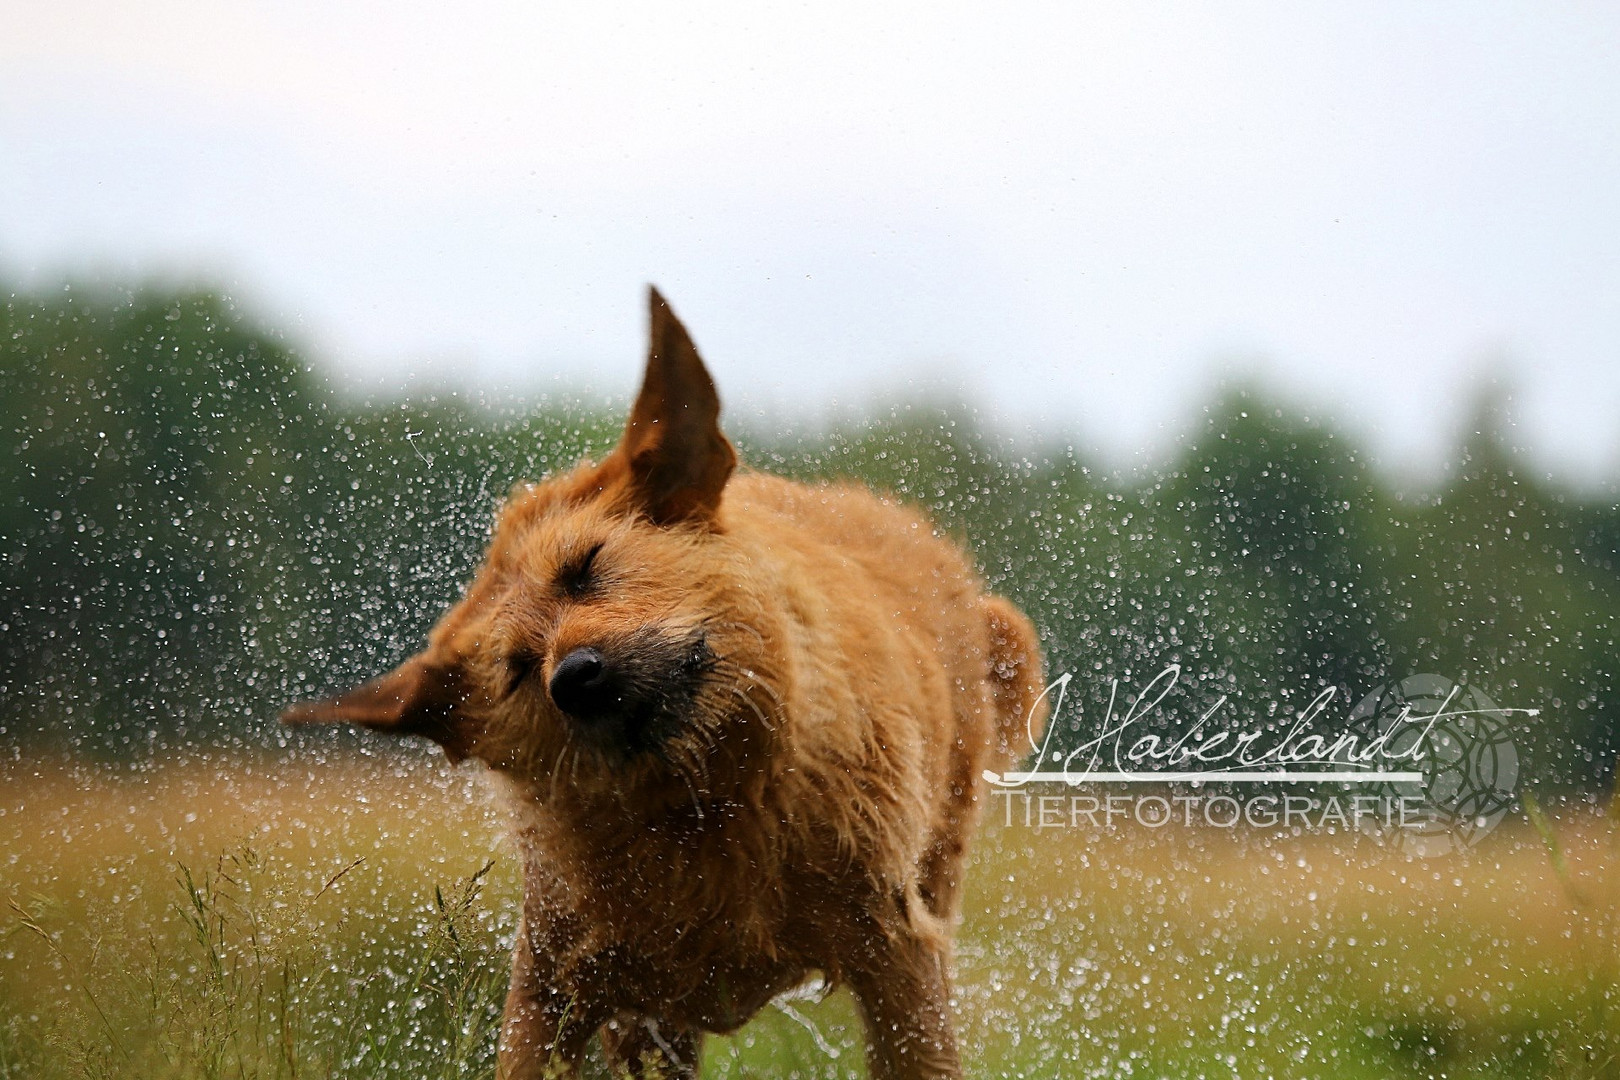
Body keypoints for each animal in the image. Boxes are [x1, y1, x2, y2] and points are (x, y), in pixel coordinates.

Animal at [283, 289, 1049, 1080]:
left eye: (585, 567)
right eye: (518, 669)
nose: (576, 677)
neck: (710, 808)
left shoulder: (896, 950)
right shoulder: (560, 981)